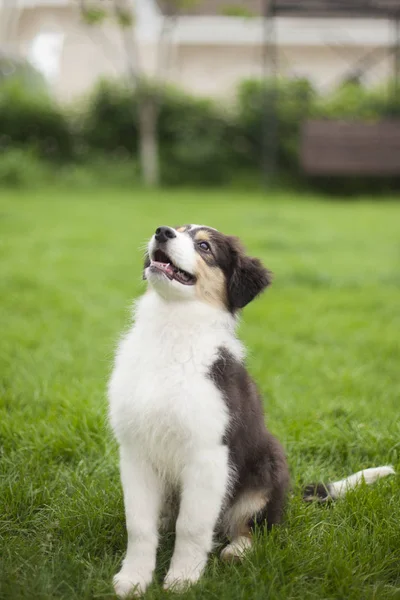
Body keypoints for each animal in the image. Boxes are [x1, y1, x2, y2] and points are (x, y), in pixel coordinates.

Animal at [107, 224, 394, 596]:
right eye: (177, 229)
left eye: (204, 246)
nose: (162, 232)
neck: (173, 332)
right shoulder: (136, 450)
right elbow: (139, 525)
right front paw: (133, 579)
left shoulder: (208, 454)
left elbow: (192, 526)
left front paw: (182, 579)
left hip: (268, 466)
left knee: (256, 525)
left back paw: (237, 550)